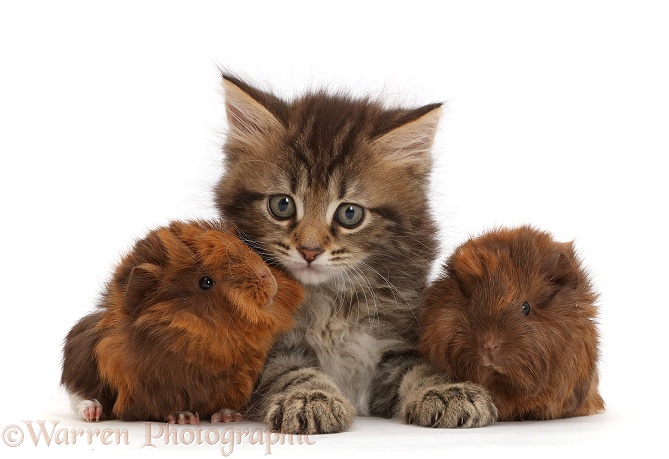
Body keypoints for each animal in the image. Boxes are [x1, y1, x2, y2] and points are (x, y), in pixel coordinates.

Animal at [214, 75, 496, 434]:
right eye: (282, 205)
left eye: (350, 214)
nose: (309, 250)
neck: (330, 299)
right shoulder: (265, 349)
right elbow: (290, 372)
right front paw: (311, 398)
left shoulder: (395, 338)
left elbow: (420, 367)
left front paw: (448, 391)